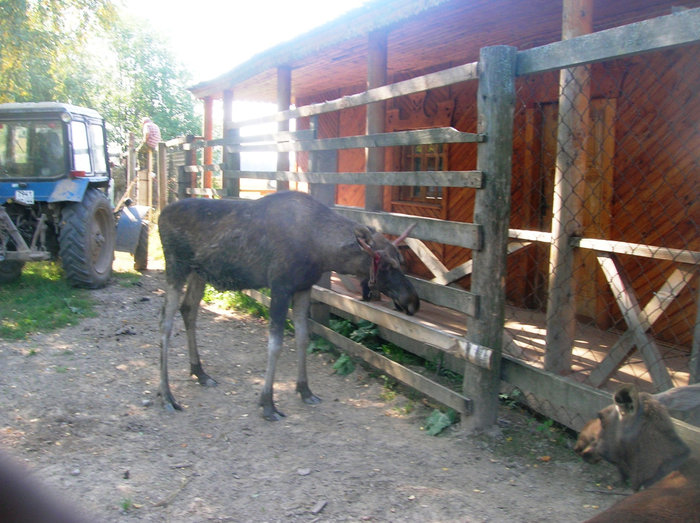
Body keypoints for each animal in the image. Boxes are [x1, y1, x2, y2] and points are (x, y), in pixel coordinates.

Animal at [159, 192, 418, 422]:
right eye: (386, 264)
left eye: (401, 260)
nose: (412, 300)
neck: (323, 252)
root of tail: (160, 214)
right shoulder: (280, 287)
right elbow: (275, 345)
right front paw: (267, 403)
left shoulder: (303, 288)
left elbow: (303, 337)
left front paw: (305, 390)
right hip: (176, 267)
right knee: (165, 322)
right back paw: (166, 395)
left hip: (198, 272)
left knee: (188, 310)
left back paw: (199, 372)